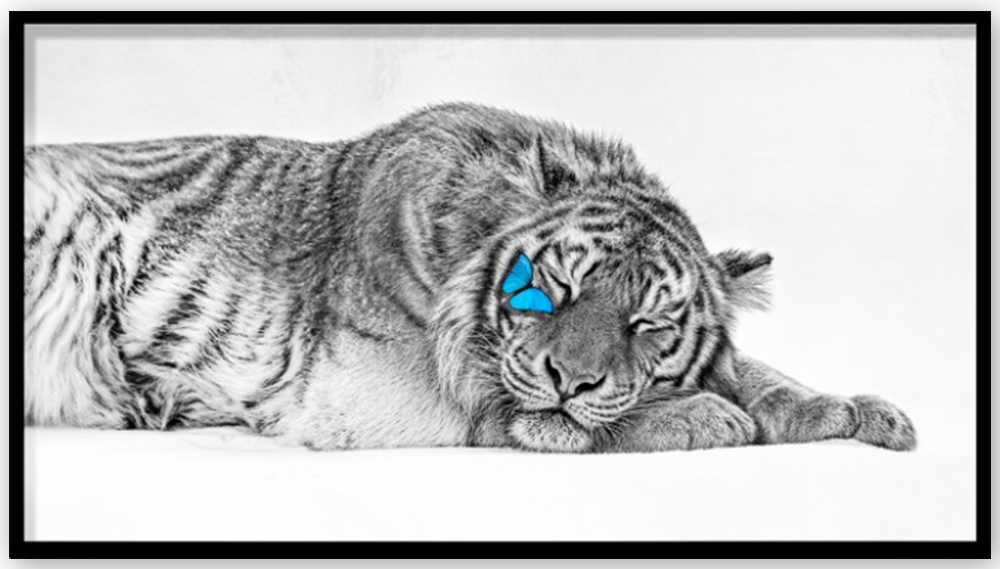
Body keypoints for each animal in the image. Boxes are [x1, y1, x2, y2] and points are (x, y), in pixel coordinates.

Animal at [23, 102, 916, 452]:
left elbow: (760, 372)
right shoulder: (383, 390)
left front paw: (858, 412)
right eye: (555, 288)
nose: (570, 377)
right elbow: (548, 417)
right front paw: (708, 417)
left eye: (647, 323)